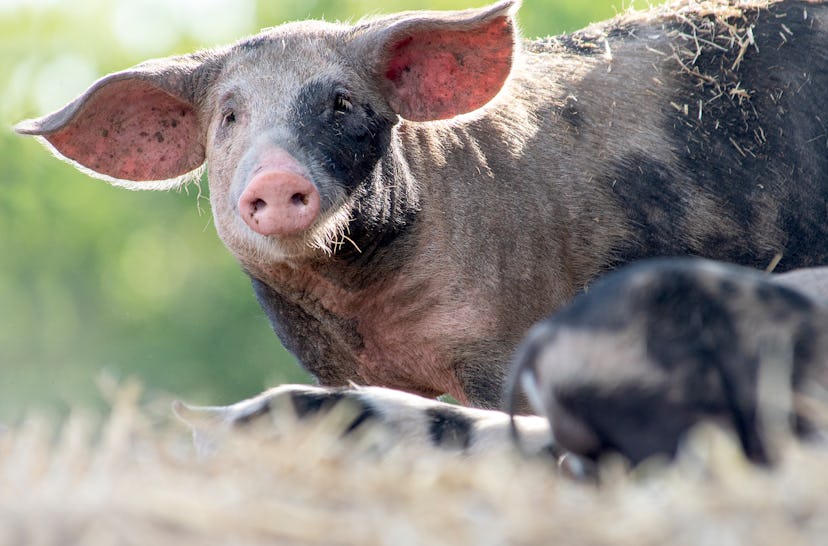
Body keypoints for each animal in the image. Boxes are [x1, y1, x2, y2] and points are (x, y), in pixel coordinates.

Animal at [11, 1, 828, 408]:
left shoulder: (501, 341)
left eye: (341, 104)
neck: (362, 305)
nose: (273, 176)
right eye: (230, 118)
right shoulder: (343, 373)